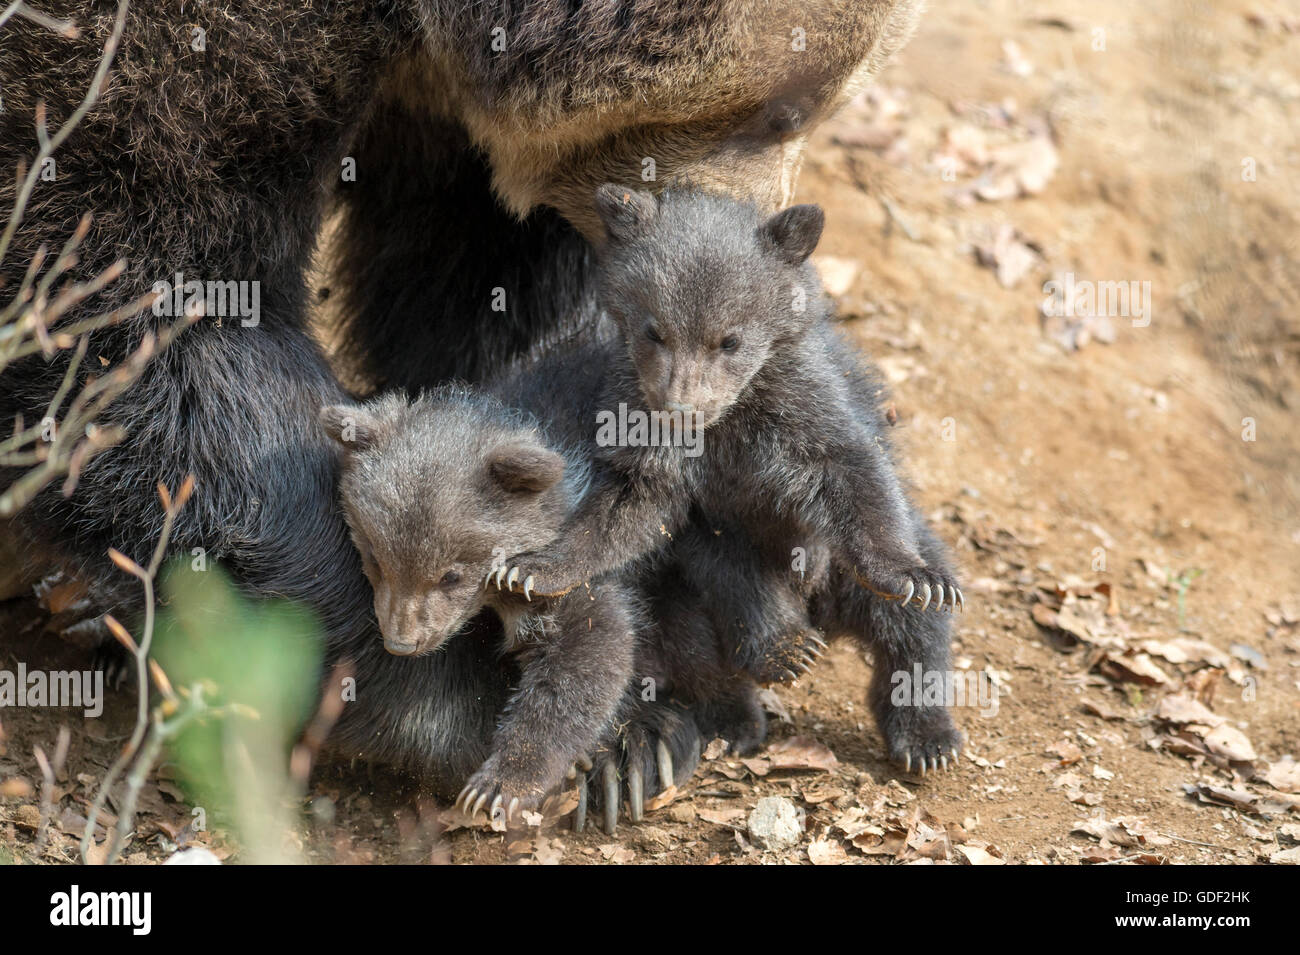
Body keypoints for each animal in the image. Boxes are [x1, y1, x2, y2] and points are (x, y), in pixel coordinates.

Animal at [0, 1, 925, 798]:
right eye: (789, 107)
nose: (789, 288)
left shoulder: (465, 151)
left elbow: (476, 286)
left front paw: (636, 733)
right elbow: (145, 288)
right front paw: (472, 701)